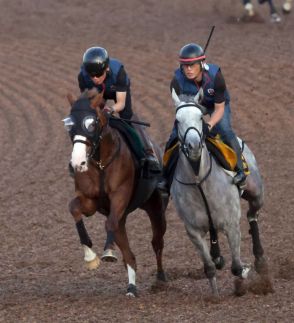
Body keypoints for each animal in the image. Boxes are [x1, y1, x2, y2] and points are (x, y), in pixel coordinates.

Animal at [63, 91, 168, 298]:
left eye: (91, 123)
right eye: (70, 124)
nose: (77, 163)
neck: (101, 163)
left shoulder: (120, 195)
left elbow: (109, 223)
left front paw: (108, 253)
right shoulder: (90, 201)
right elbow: (74, 209)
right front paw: (90, 257)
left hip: (156, 207)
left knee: (157, 242)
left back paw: (160, 279)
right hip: (124, 216)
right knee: (129, 255)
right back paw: (131, 287)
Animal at [170, 88, 272, 296]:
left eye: (200, 117)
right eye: (177, 120)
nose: (193, 146)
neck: (199, 181)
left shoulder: (231, 224)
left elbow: (236, 267)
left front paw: (245, 272)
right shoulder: (193, 231)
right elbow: (209, 267)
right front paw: (215, 295)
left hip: (257, 194)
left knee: (252, 216)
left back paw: (259, 260)